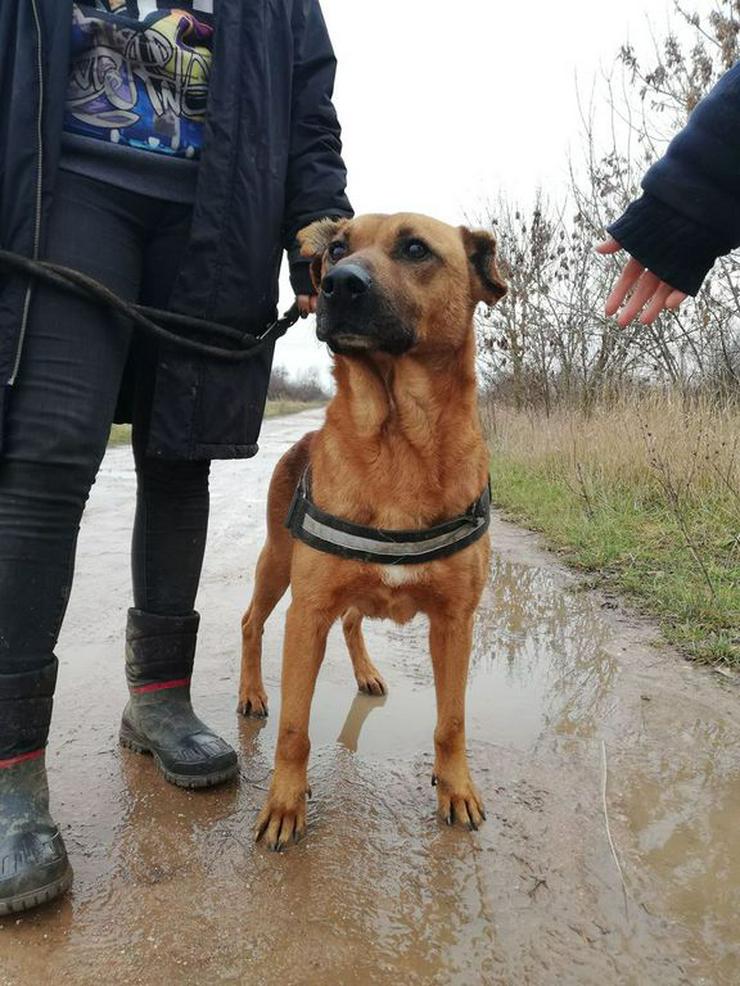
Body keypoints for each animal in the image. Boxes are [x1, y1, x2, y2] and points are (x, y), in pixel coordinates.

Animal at [240, 213, 506, 844]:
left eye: (415, 249)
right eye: (338, 248)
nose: (337, 284)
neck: (397, 441)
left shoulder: (455, 622)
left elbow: (451, 721)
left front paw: (455, 788)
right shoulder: (307, 612)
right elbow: (294, 730)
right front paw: (284, 804)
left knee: (354, 622)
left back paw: (365, 673)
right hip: (277, 567)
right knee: (250, 624)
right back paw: (253, 693)